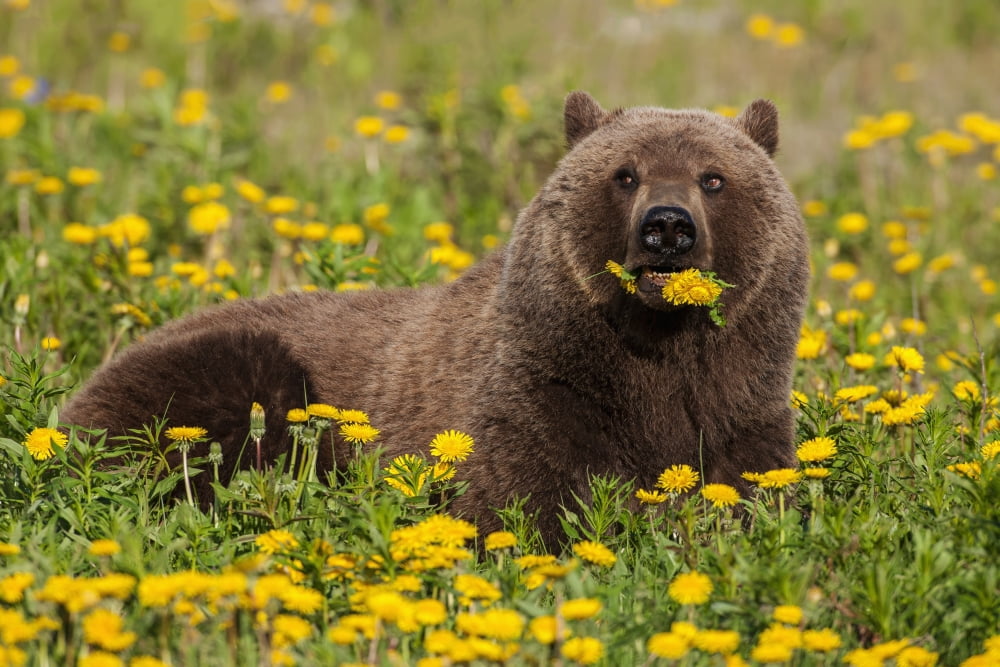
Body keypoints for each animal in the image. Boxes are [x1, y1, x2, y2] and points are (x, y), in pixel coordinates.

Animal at [61, 91, 809, 546]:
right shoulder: (538, 397)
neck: (655, 354)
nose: (667, 227)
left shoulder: (740, 405)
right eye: (625, 173)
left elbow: (757, 492)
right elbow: (515, 506)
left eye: (714, 177)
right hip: (222, 375)